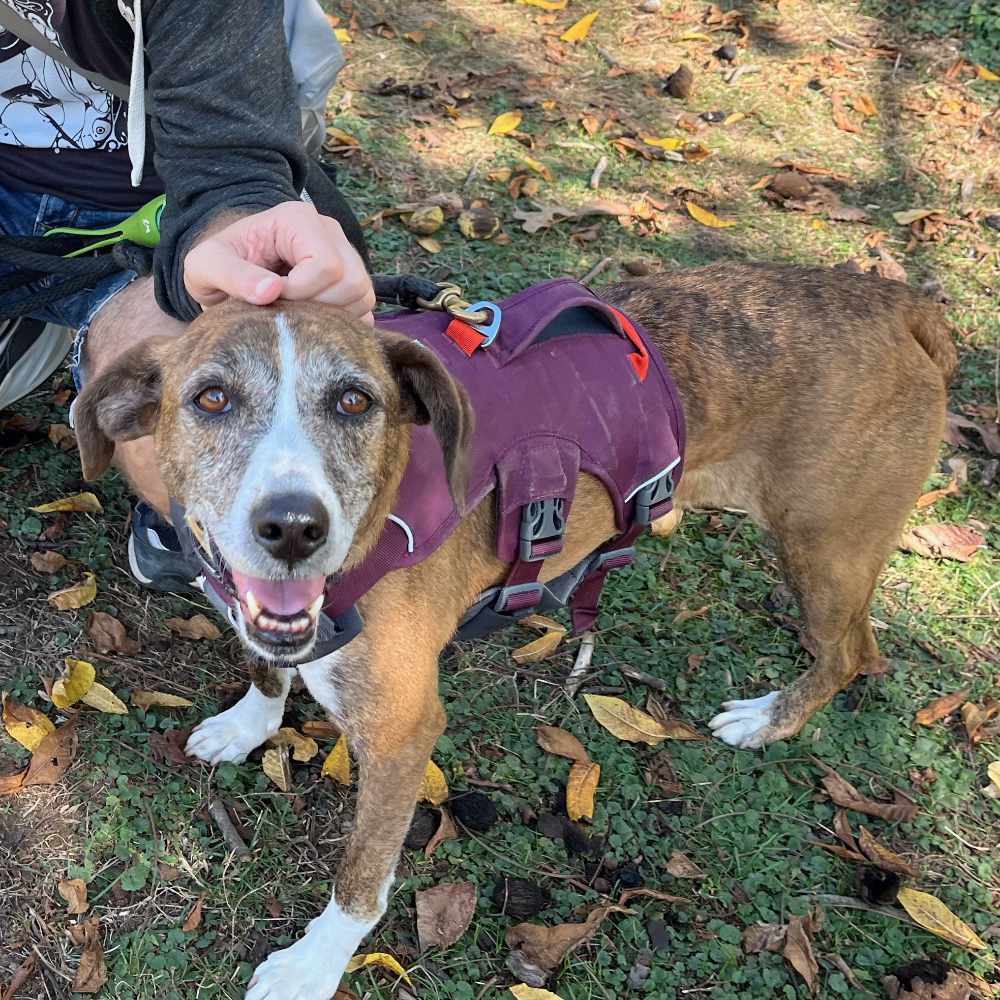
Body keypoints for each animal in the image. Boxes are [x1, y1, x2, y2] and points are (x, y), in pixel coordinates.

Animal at [72, 262, 952, 996]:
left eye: (355, 401)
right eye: (211, 399)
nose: (293, 528)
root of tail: (894, 300)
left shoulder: (402, 733)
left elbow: (362, 878)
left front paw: (313, 966)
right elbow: (266, 666)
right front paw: (249, 723)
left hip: (824, 549)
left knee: (853, 651)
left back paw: (768, 719)